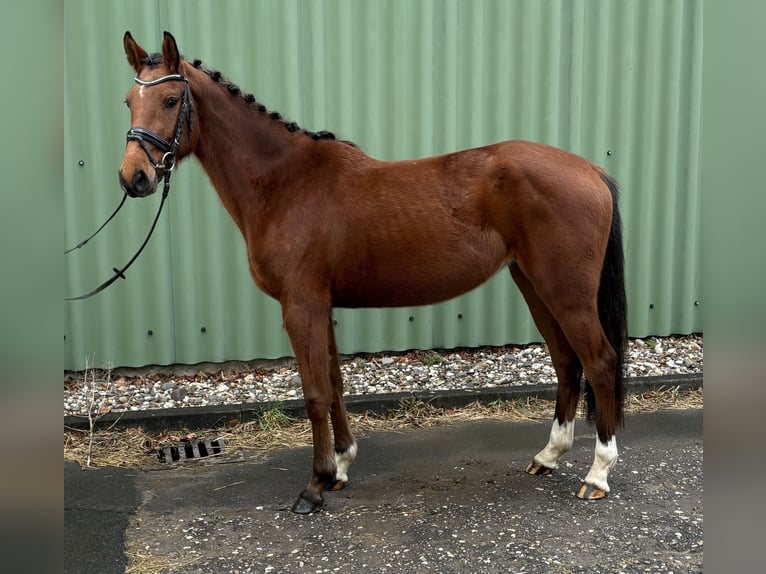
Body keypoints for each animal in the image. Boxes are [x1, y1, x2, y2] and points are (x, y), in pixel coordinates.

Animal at [118, 32, 624, 516]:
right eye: (128, 100)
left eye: (170, 100)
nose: (133, 177)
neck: (285, 183)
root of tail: (590, 170)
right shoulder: (320, 305)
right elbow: (335, 385)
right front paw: (340, 468)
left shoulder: (300, 306)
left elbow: (314, 393)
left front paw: (314, 487)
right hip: (534, 285)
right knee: (566, 362)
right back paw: (548, 456)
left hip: (565, 292)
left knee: (599, 361)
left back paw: (597, 475)